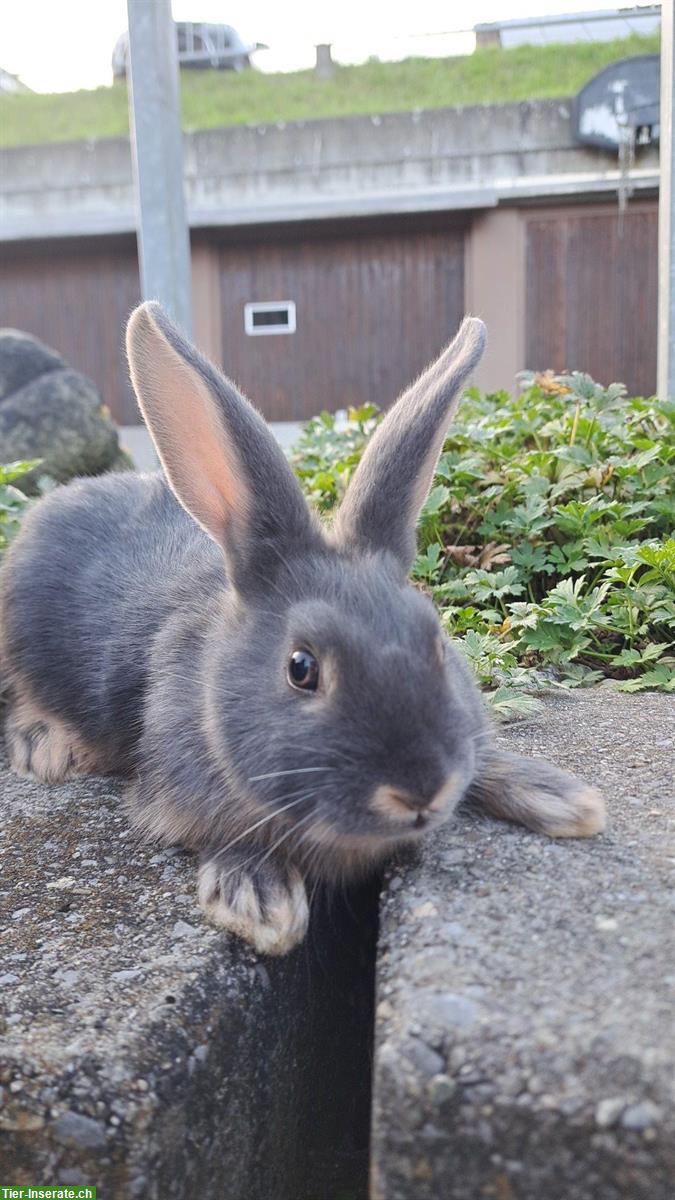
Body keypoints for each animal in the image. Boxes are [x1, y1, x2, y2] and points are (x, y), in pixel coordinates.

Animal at [0, 304, 600, 950]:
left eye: (438, 644)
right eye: (301, 669)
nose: (420, 791)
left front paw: (560, 796)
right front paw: (258, 898)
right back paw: (44, 745)